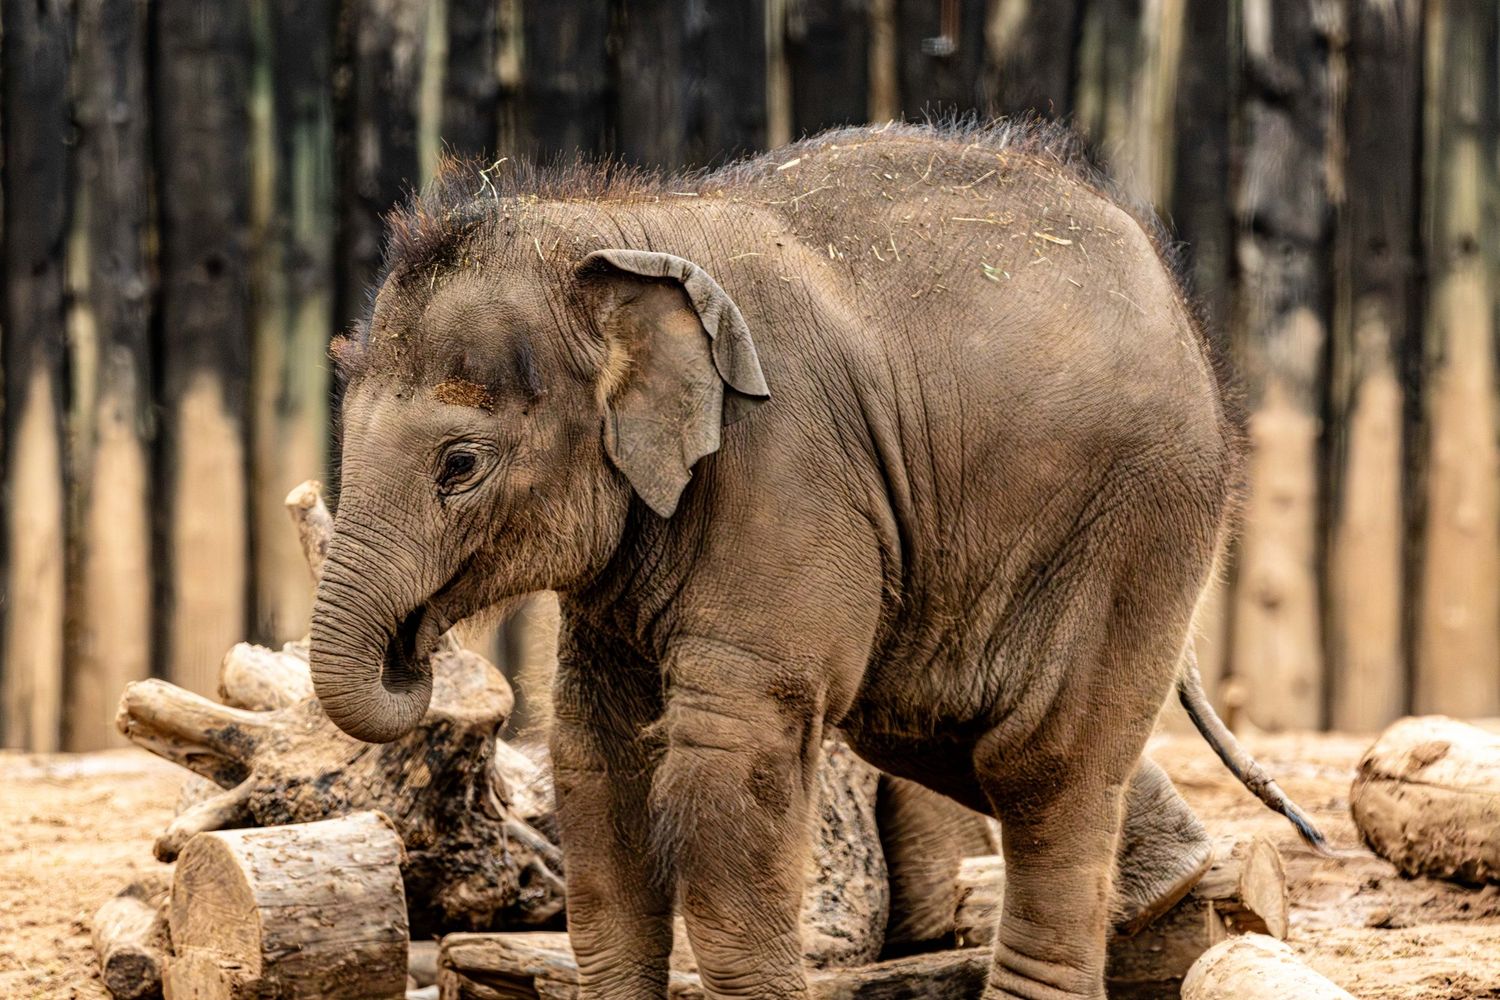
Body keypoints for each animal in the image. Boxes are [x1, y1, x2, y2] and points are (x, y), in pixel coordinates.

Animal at [309, 123, 1324, 1000]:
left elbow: (734, 755)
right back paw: (1167, 880)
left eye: (460, 466)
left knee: (1040, 762)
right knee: (943, 726)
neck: (619, 230)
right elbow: (596, 755)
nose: (415, 650)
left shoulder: (784, 464)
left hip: (1137, 517)